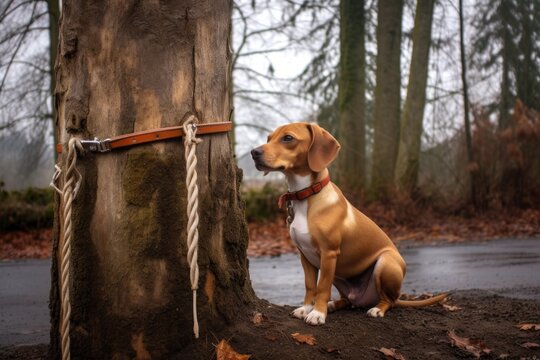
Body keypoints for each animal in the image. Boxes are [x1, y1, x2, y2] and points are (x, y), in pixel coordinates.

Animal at [251, 122, 446, 324]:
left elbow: (322, 287)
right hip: (339, 273)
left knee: (389, 300)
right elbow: (310, 286)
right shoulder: (305, 255)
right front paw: (306, 308)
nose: (254, 152)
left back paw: (377, 309)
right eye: (269, 138)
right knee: (347, 300)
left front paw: (317, 313)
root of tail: (364, 298)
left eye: (288, 138)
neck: (306, 195)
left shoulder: (328, 254)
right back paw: (333, 305)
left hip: (385, 263)